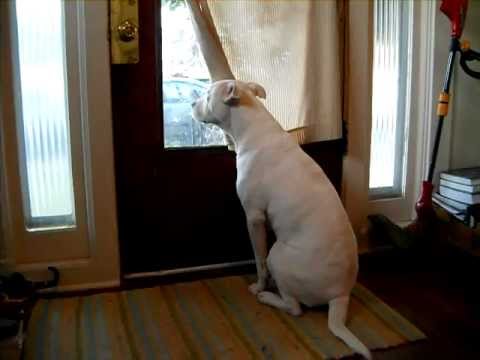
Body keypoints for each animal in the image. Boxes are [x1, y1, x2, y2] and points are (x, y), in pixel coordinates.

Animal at [191, 80, 372, 358]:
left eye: (208, 96)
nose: (191, 103)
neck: (251, 126)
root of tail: (339, 296)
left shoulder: (254, 218)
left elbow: (258, 259)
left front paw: (259, 286)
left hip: (278, 255)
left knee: (294, 307)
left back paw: (268, 298)